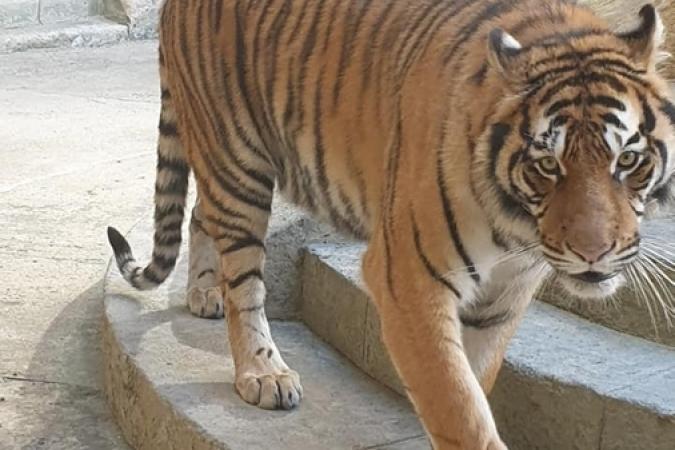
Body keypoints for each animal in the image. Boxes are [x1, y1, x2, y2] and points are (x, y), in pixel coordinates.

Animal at [104, 0, 675, 446]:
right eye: (547, 165)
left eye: (627, 159)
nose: (594, 253)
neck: (516, 229)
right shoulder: (409, 281)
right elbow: (459, 407)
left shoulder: (505, 297)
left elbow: (471, 385)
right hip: (237, 159)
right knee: (243, 279)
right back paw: (263, 371)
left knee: (201, 215)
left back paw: (204, 293)